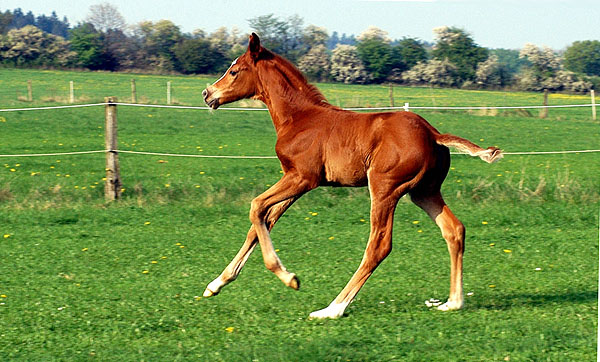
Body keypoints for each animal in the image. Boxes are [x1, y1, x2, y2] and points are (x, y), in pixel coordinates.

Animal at [202, 32, 502, 318]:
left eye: (234, 71)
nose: (207, 93)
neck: (299, 117)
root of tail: (433, 133)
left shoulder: (302, 178)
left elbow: (256, 207)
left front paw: (290, 278)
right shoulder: (295, 182)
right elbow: (262, 222)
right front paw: (216, 284)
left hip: (385, 188)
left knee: (379, 246)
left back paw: (332, 308)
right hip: (424, 191)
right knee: (454, 230)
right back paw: (453, 302)